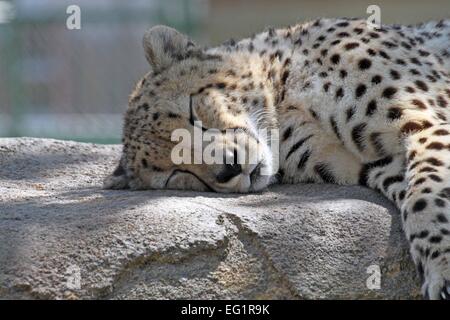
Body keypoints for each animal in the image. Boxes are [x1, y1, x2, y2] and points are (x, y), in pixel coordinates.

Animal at [104, 18, 450, 298]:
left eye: (192, 113)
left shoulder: (427, 121)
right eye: (177, 174)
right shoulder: (378, 163)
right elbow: (420, 197)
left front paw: (443, 270)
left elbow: (428, 192)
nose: (228, 169)